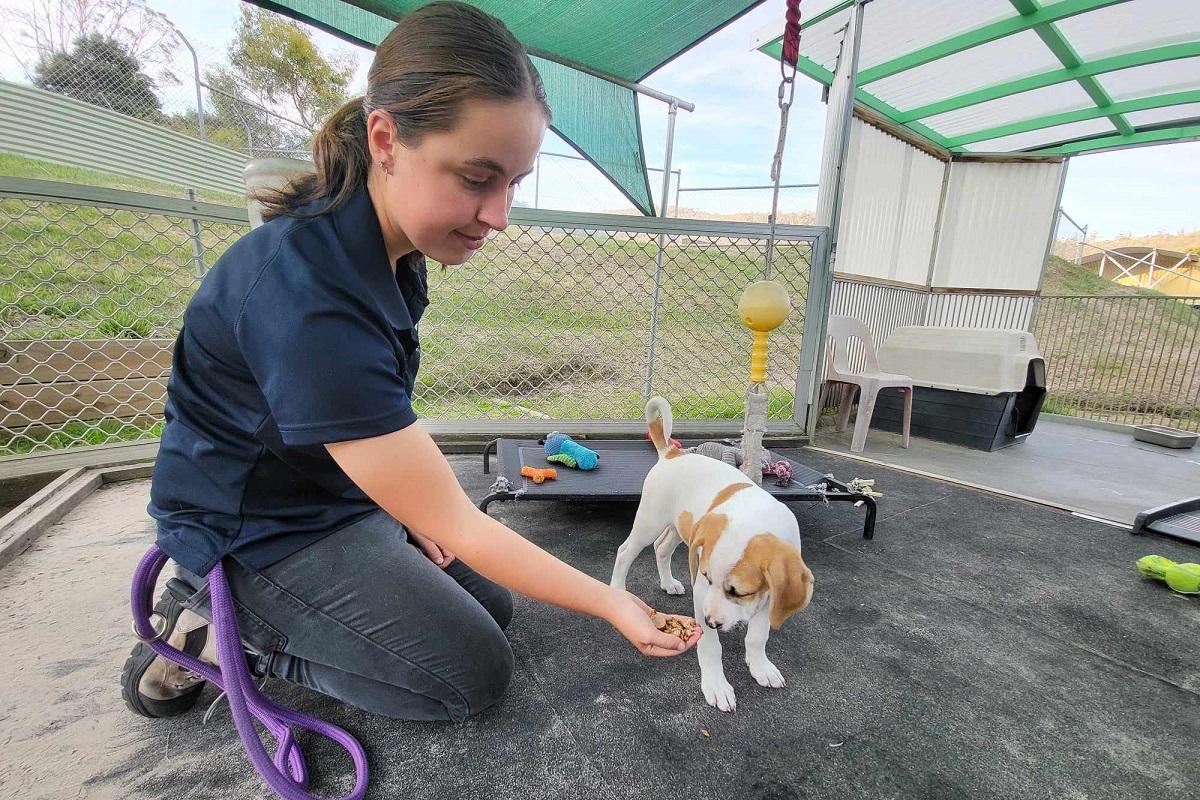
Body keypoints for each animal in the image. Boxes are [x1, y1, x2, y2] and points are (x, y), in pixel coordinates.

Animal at [609, 398, 816, 710]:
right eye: (706, 577)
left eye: (739, 592)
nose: (709, 622)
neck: (756, 517)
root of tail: (672, 453)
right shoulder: (701, 590)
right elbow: (710, 646)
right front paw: (716, 685)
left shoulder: (772, 594)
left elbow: (758, 635)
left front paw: (761, 666)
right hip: (650, 521)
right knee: (625, 552)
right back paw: (618, 590)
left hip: (681, 527)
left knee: (662, 547)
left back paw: (668, 583)